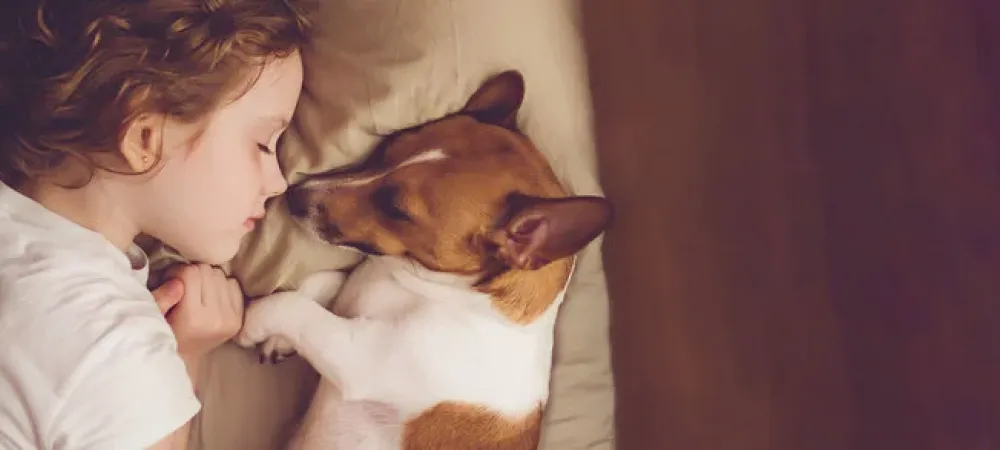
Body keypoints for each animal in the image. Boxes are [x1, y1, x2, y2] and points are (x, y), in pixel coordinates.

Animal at [238, 71, 612, 450]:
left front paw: (251, 323)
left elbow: (293, 309)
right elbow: (325, 282)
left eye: (395, 209)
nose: (294, 196)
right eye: (385, 150)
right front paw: (279, 340)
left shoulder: (361, 356)